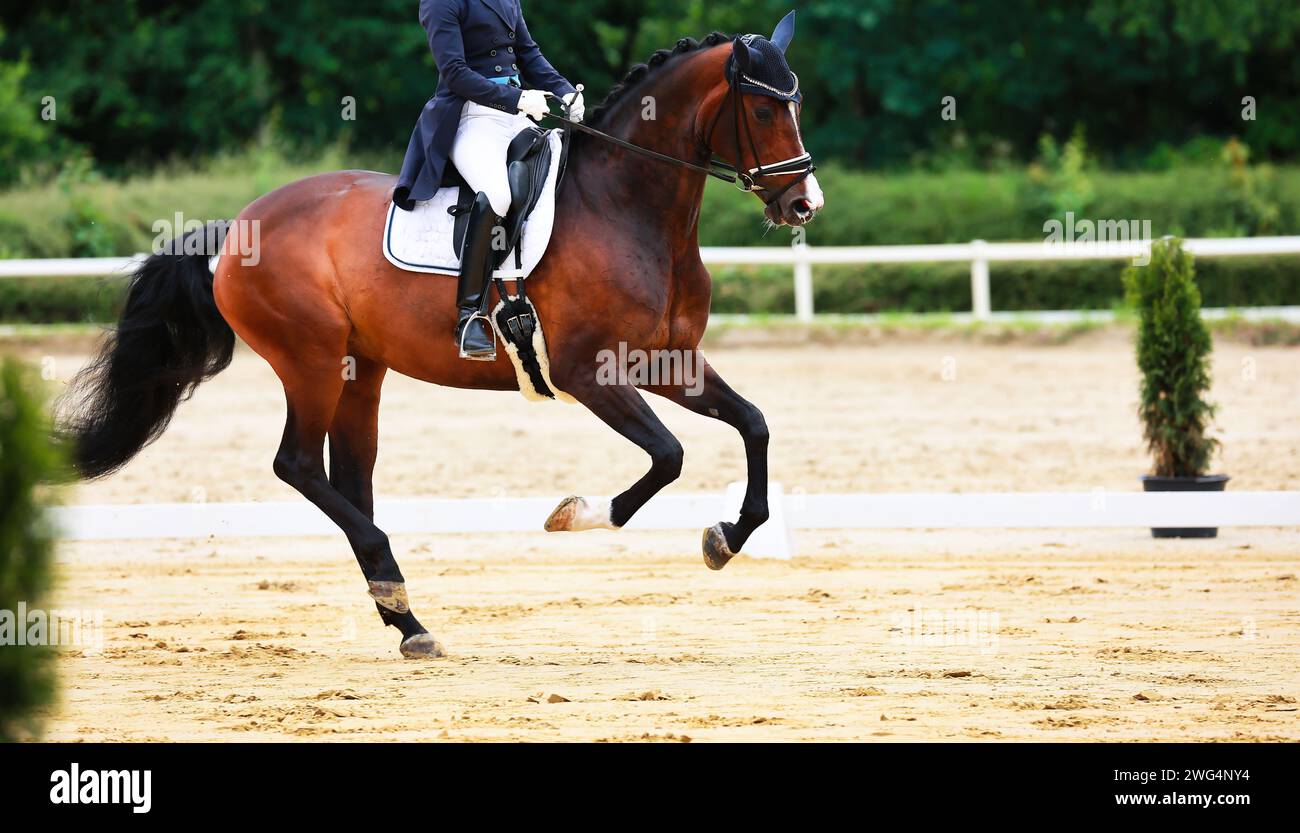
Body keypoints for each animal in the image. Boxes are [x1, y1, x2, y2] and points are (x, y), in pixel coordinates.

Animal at [62, 31, 824, 658]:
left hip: (359, 368)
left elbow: (753, 424)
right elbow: (668, 456)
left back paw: (406, 619)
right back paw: (398, 597)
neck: (626, 207)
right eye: (763, 111)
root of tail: (238, 228)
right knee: (298, 465)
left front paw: (727, 537)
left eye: (797, 103)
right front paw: (576, 515)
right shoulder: (591, 373)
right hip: (310, 362)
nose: (803, 206)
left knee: (349, 478)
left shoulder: (669, 362)